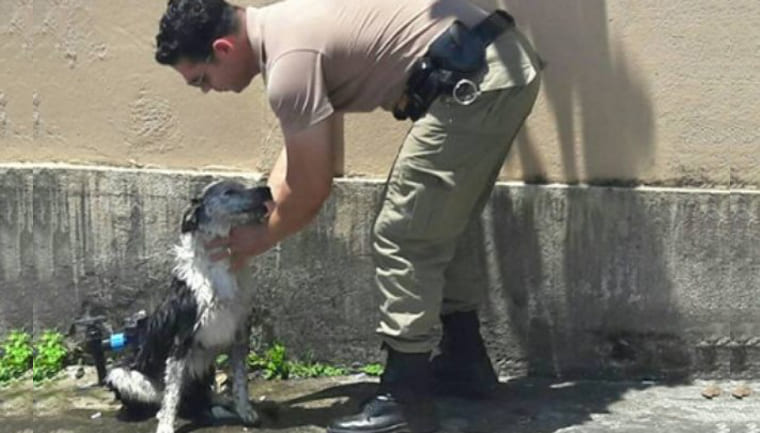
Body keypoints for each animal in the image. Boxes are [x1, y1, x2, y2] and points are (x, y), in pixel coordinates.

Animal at [105, 179, 274, 432]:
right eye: (229, 192)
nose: (267, 190)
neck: (220, 265)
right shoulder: (181, 340)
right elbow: (172, 394)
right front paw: (166, 426)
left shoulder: (239, 334)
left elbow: (240, 382)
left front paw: (245, 411)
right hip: (120, 374)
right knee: (166, 399)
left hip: (205, 368)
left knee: (201, 395)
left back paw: (219, 401)